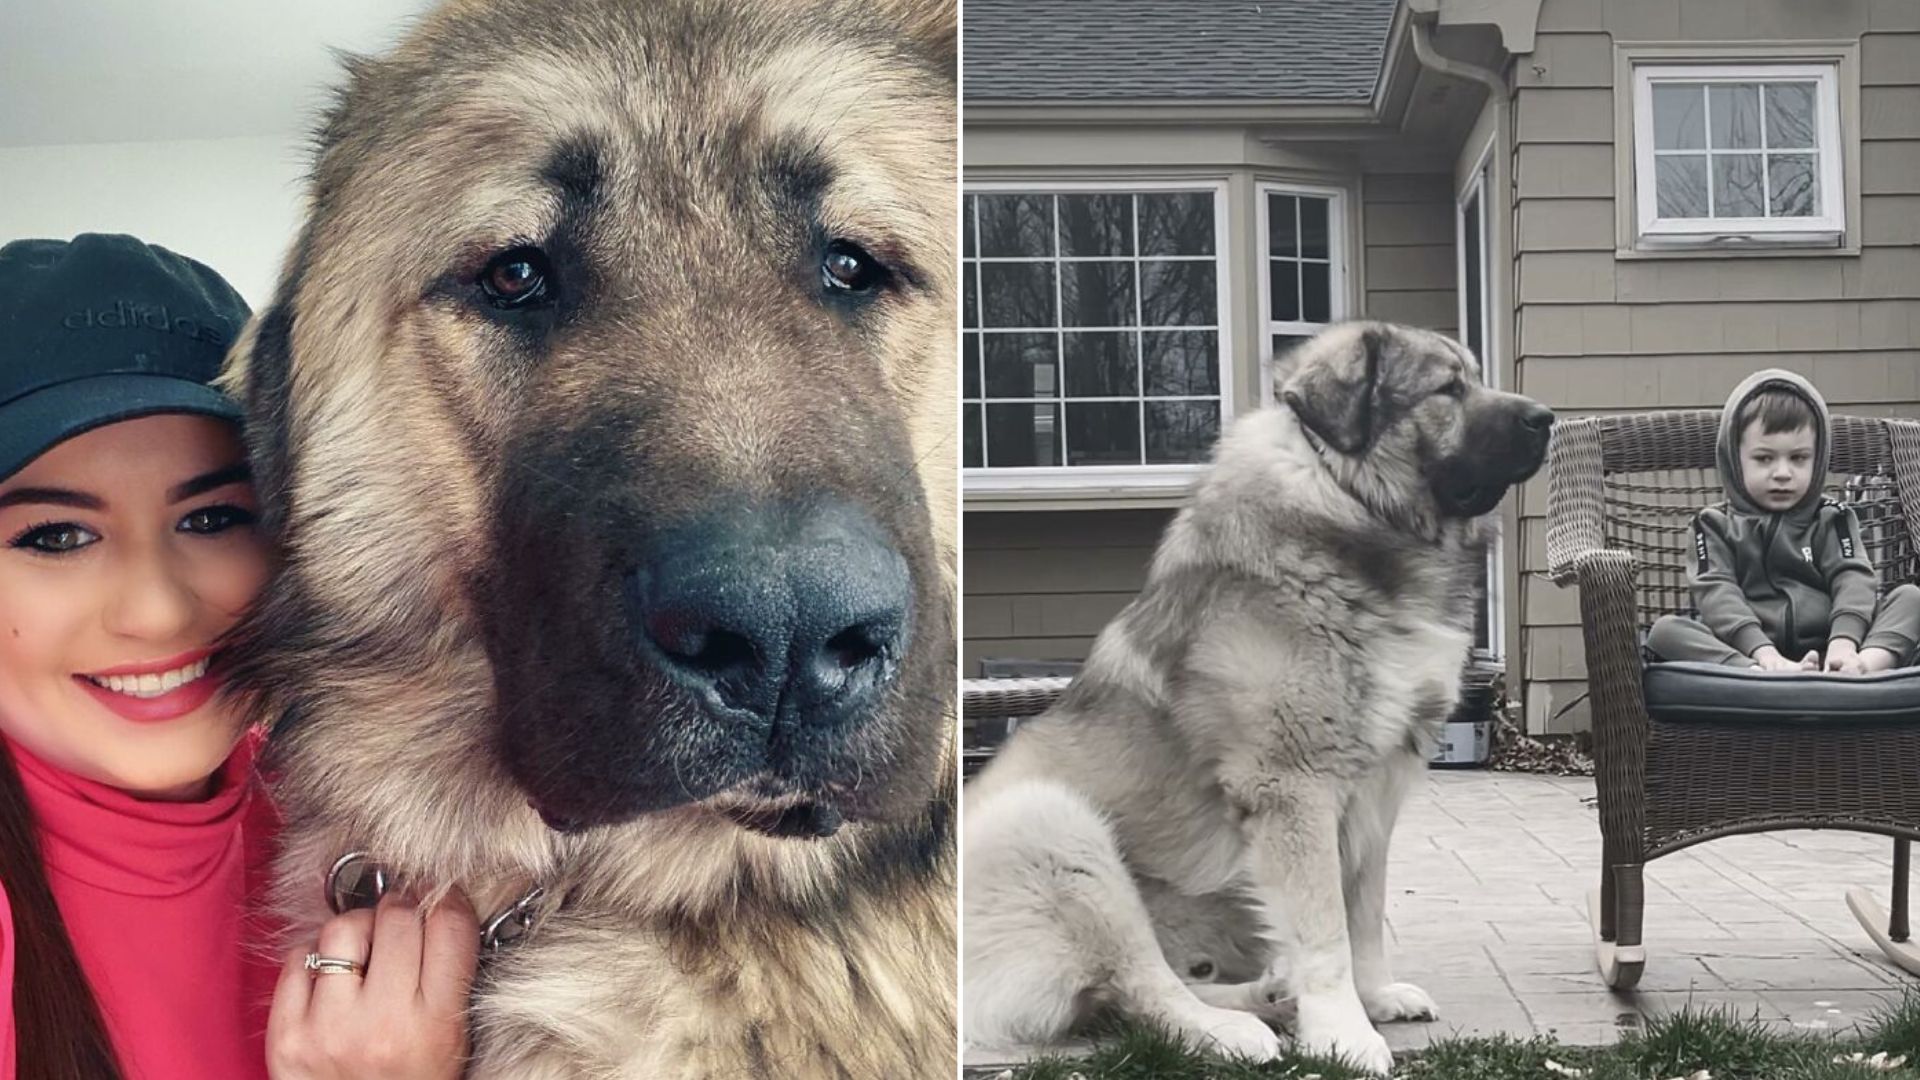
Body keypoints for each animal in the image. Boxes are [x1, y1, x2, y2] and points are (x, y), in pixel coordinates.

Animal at [967, 317, 1551, 1068]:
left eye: (1472, 377)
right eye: (1447, 389)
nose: (1547, 418)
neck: (1350, 505)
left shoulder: (1378, 789)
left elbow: (1364, 911)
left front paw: (1372, 997)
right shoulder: (1291, 787)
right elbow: (1325, 929)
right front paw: (1344, 1034)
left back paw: (1269, 995)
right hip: (1053, 828)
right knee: (1142, 985)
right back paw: (1232, 1029)